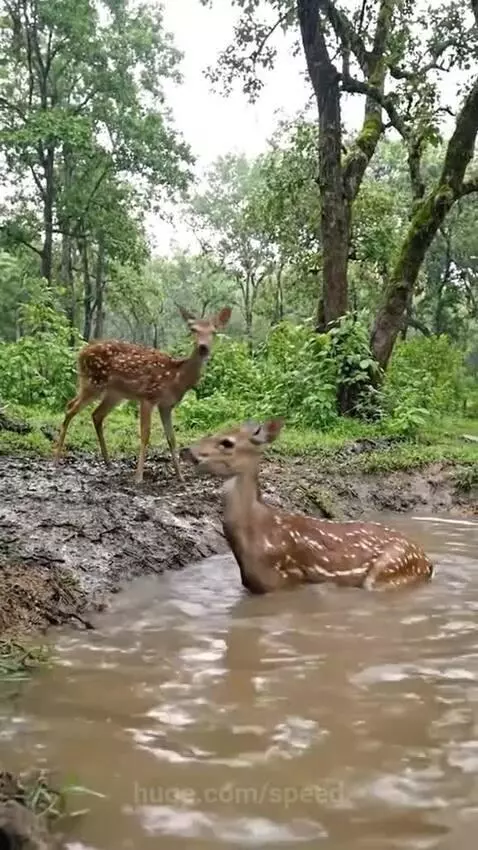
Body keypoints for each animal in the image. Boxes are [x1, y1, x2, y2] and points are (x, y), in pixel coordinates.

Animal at [54, 306, 232, 483]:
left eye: (214, 331)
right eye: (193, 329)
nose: (203, 347)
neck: (176, 378)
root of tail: (80, 352)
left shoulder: (166, 405)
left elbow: (172, 438)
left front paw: (180, 476)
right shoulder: (148, 397)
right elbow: (145, 435)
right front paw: (138, 477)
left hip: (114, 393)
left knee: (95, 414)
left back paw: (108, 461)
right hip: (93, 382)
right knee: (71, 408)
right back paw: (56, 457)